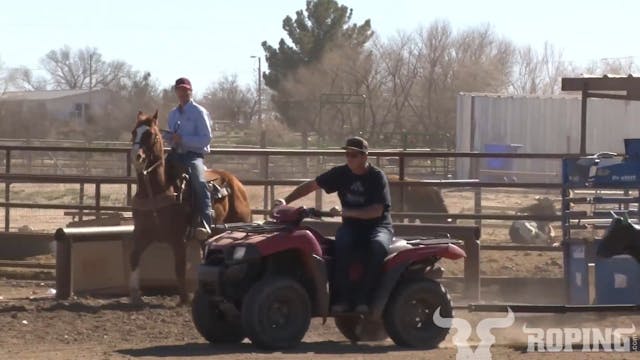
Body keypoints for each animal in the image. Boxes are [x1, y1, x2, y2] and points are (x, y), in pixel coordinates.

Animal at [129, 111, 251, 306]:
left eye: (151, 134)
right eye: (134, 132)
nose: (136, 157)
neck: (156, 191)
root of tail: (236, 183)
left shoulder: (178, 239)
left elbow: (179, 267)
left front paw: (184, 299)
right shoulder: (142, 234)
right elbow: (134, 257)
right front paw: (135, 295)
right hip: (209, 234)